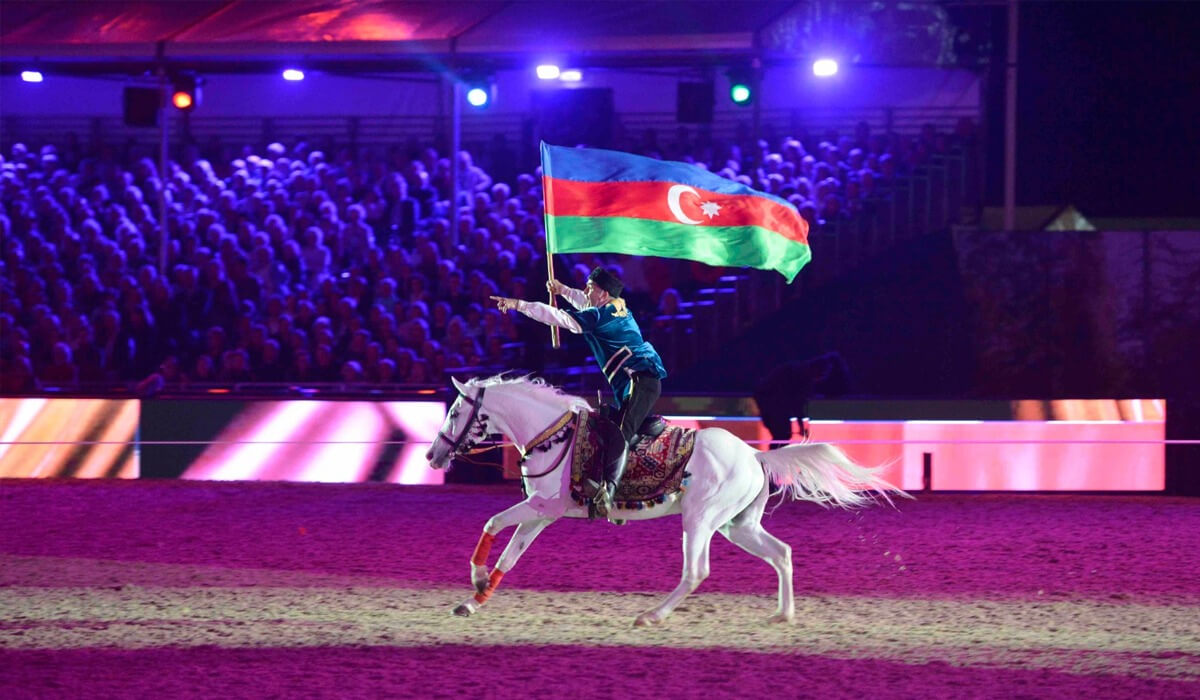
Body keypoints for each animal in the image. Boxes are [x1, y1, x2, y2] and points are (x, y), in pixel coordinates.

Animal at [427, 374, 902, 629]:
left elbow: (492, 523)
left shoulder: (543, 507)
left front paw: (476, 579)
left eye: (455, 412)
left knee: (696, 571)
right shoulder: (543, 513)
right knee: (782, 553)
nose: (433, 456)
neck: (553, 433)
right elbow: (510, 556)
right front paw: (475, 599)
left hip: (700, 520)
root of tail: (753, 454)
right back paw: (782, 616)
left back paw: (651, 616)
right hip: (738, 525)